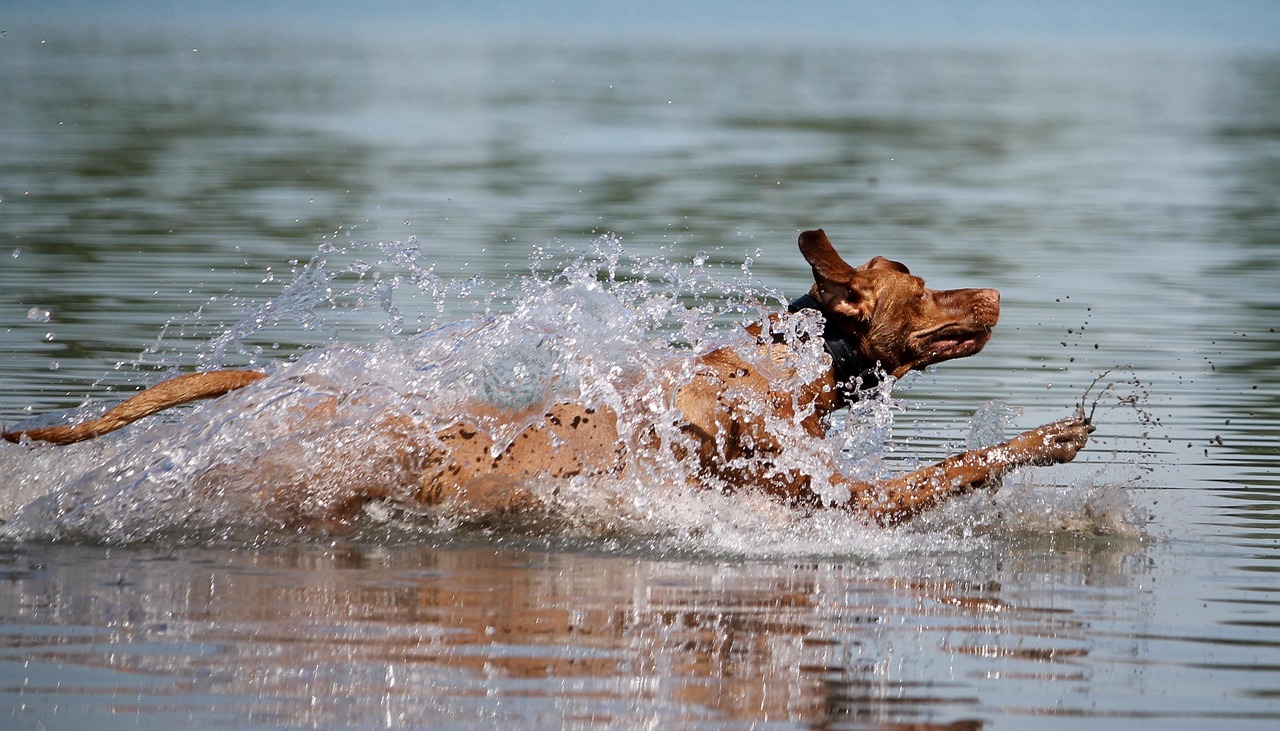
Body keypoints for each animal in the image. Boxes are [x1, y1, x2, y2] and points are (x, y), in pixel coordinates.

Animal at [5, 229, 1095, 527]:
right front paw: (1049, 437)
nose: (997, 289)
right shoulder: (850, 499)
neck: (793, 365)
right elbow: (961, 463)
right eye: (919, 277)